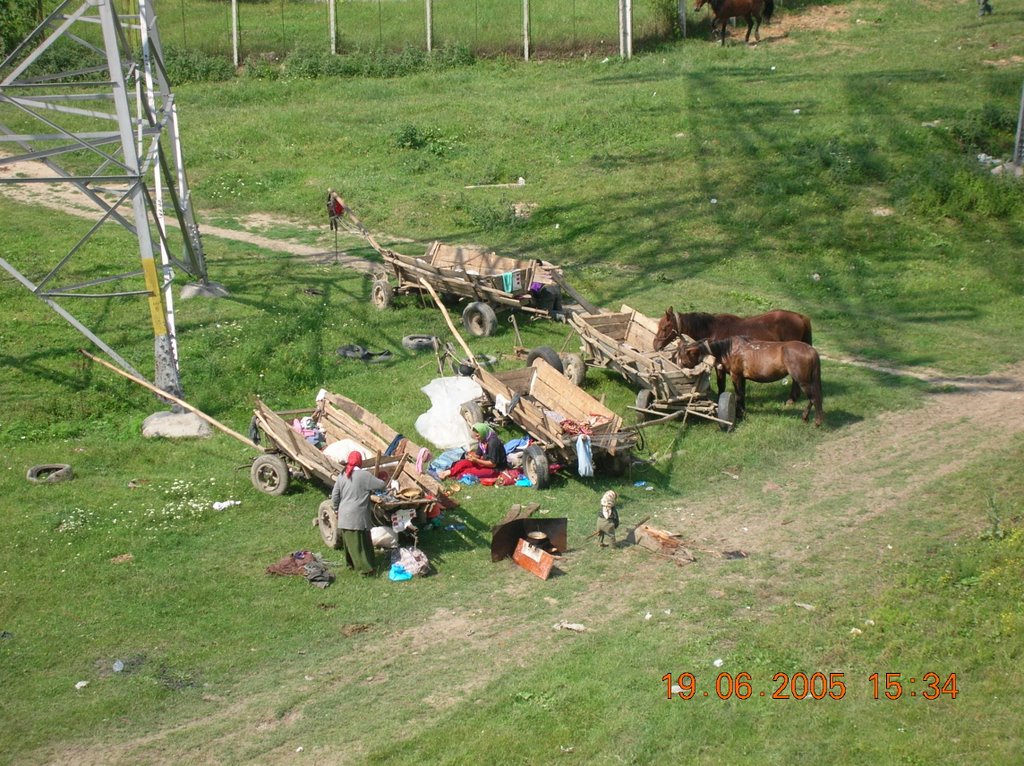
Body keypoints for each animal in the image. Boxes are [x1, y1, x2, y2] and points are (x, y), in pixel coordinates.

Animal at [655, 307, 815, 397]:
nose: (655, 344)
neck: (713, 330)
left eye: (665, 327)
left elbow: (721, 385)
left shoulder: (720, 366)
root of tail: (801, 317)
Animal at [679, 337, 823, 428]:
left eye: (683, 358)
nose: (681, 369)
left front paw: (738, 414)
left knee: (814, 398)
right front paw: (742, 412)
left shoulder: (736, 376)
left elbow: (738, 395)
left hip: (803, 381)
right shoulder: (742, 378)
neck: (727, 350)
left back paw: (816, 422)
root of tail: (811, 350)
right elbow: (741, 394)